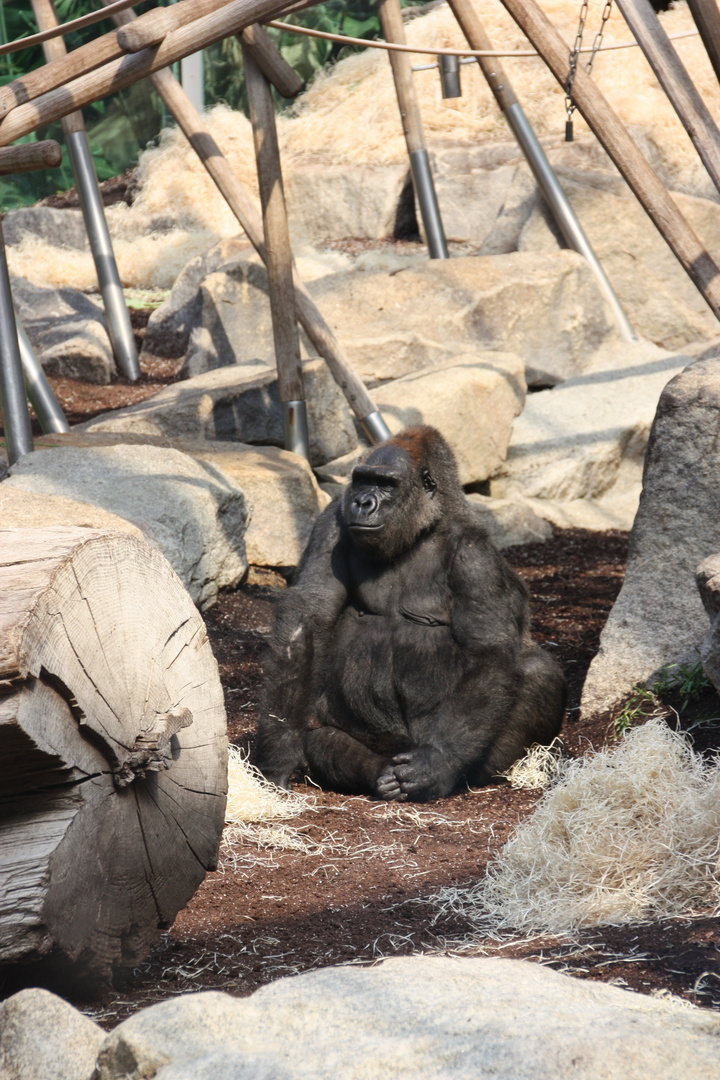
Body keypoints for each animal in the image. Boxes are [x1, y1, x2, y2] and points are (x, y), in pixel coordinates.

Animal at [255, 423, 565, 803]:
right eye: (362, 479)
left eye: (387, 484)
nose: (362, 502)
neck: (421, 531)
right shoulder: (332, 521)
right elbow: (309, 615)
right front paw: (278, 752)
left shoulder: (475, 557)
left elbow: (488, 650)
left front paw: (438, 763)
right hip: (382, 744)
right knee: (322, 741)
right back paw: (376, 772)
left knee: (538, 671)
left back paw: (455, 774)